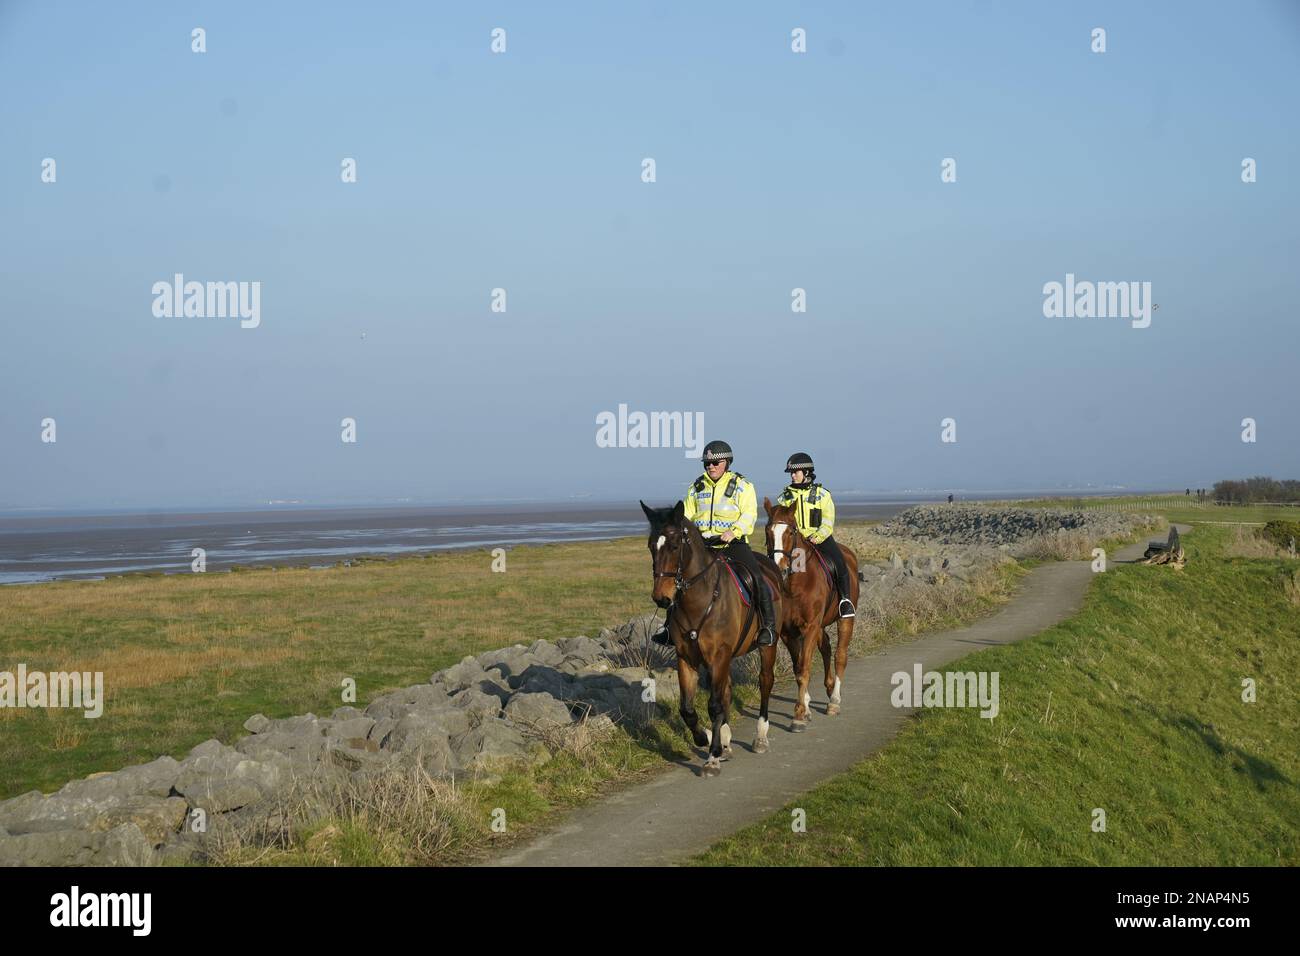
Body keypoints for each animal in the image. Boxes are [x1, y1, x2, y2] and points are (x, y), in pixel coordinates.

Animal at [637, 496, 790, 775]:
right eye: (651, 546)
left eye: (675, 545)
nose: (661, 598)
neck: (701, 600)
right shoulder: (687, 659)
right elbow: (687, 709)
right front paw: (706, 737)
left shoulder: (719, 656)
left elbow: (714, 705)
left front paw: (712, 756)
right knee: (726, 690)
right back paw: (727, 741)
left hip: (767, 646)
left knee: (765, 681)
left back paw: (760, 736)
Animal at [759, 502, 863, 723]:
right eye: (767, 531)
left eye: (791, 531)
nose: (780, 568)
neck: (795, 584)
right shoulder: (788, 633)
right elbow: (799, 669)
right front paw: (804, 707)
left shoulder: (810, 627)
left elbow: (805, 666)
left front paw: (799, 713)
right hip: (820, 626)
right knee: (826, 647)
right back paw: (829, 688)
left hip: (844, 619)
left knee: (840, 655)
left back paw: (834, 700)